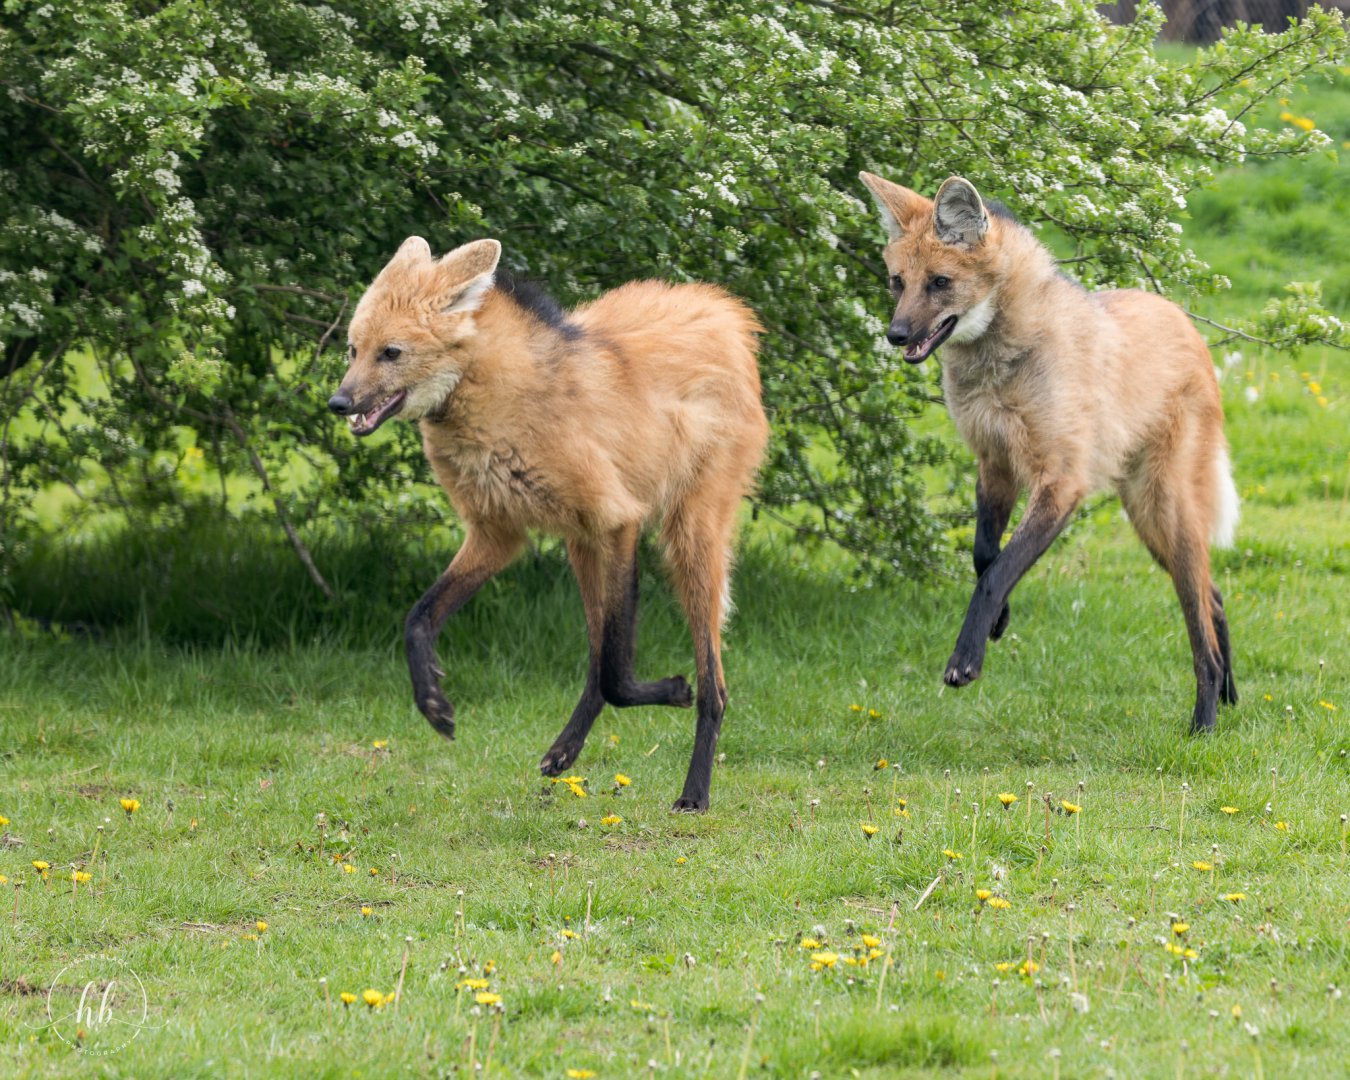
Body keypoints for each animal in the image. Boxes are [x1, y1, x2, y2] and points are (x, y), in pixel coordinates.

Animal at [329, 237, 769, 810]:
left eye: (391, 353)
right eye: (352, 350)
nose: (338, 402)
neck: (494, 403)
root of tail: (726, 312)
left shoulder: (618, 521)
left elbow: (618, 673)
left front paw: (674, 690)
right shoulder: (498, 533)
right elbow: (418, 618)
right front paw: (434, 705)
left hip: (686, 539)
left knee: (711, 682)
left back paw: (694, 791)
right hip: (581, 546)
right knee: (596, 653)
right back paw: (565, 751)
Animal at [859, 172, 1239, 733]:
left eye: (940, 283)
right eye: (897, 283)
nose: (896, 335)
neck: (1001, 361)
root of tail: (1183, 319)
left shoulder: (1060, 481)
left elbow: (997, 571)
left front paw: (966, 659)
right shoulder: (994, 462)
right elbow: (985, 556)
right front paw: (999, 621)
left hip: (1166, 506)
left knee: (1201, 627)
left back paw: (1204, 723)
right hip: (1148, 518)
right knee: (1213, 597)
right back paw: (1231, 698)